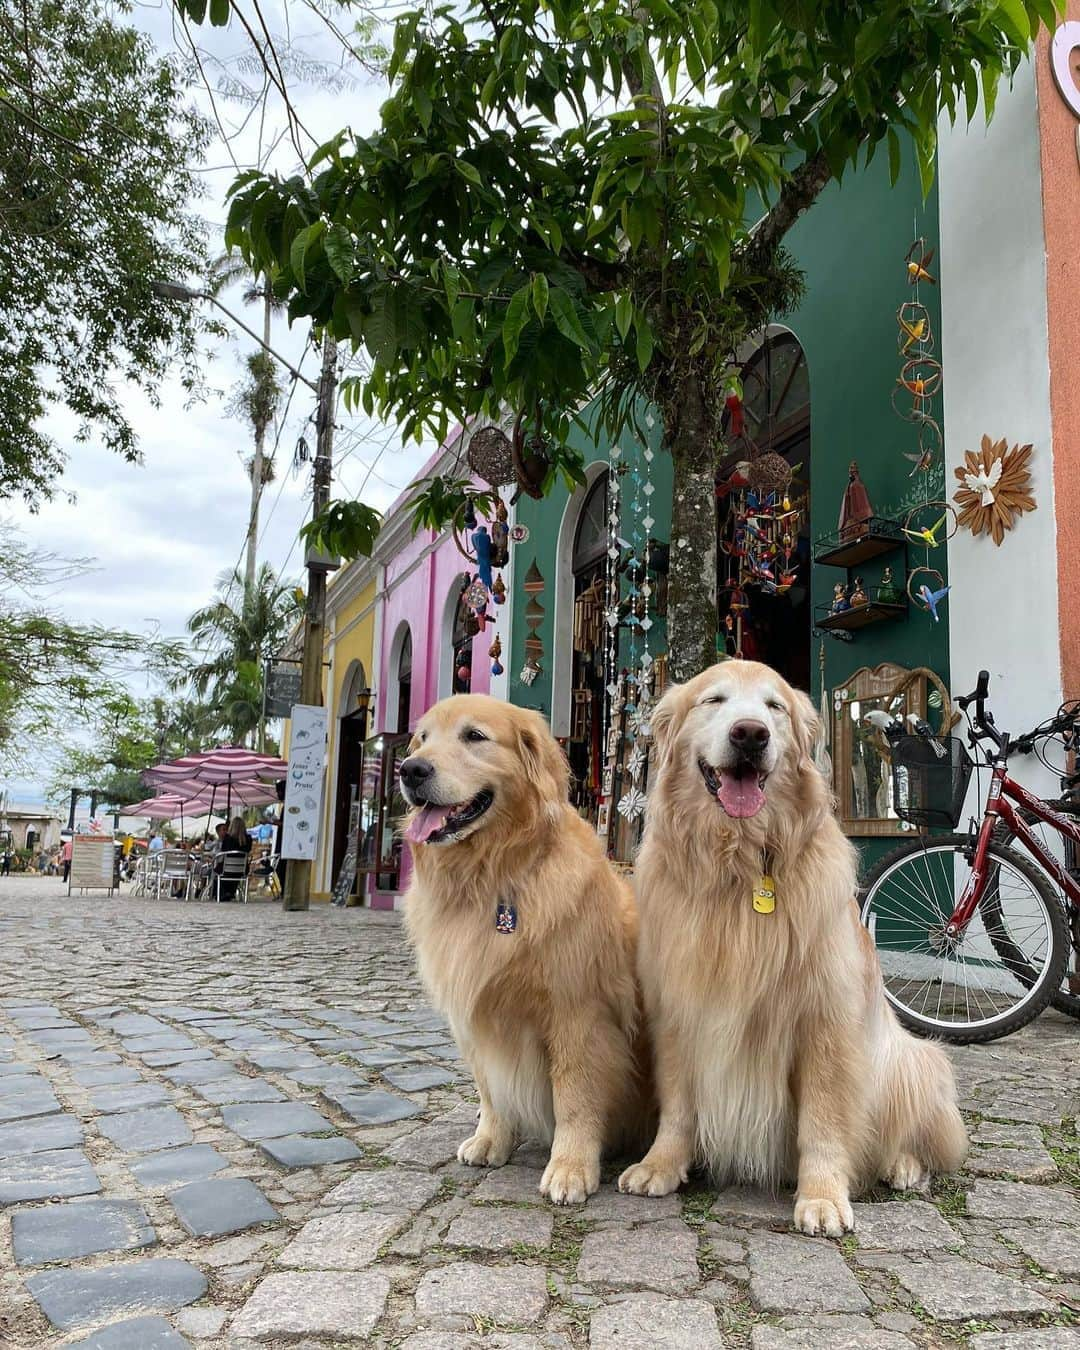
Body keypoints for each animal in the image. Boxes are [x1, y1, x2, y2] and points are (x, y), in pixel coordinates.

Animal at [399, 696, 645, 1204]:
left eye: (474, 736)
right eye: (422, 739)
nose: (409, 770)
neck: (492, 876)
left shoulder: (578, 1013)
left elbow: (574, 1095)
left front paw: (570, 1167)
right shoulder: (474, 1016)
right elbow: (491, 1087)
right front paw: (492, 1139)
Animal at [621, 658, 966, 1236]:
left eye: (773, 706)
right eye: (714, 701)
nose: (750, 735)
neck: (741, 865)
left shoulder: (824, 1019)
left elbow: (823, 1121)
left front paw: (823, 1196)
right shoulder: (676, 1010)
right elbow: (678, 1105)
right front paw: (660, 1164)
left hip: (915, 1062)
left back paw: (903, 1165)